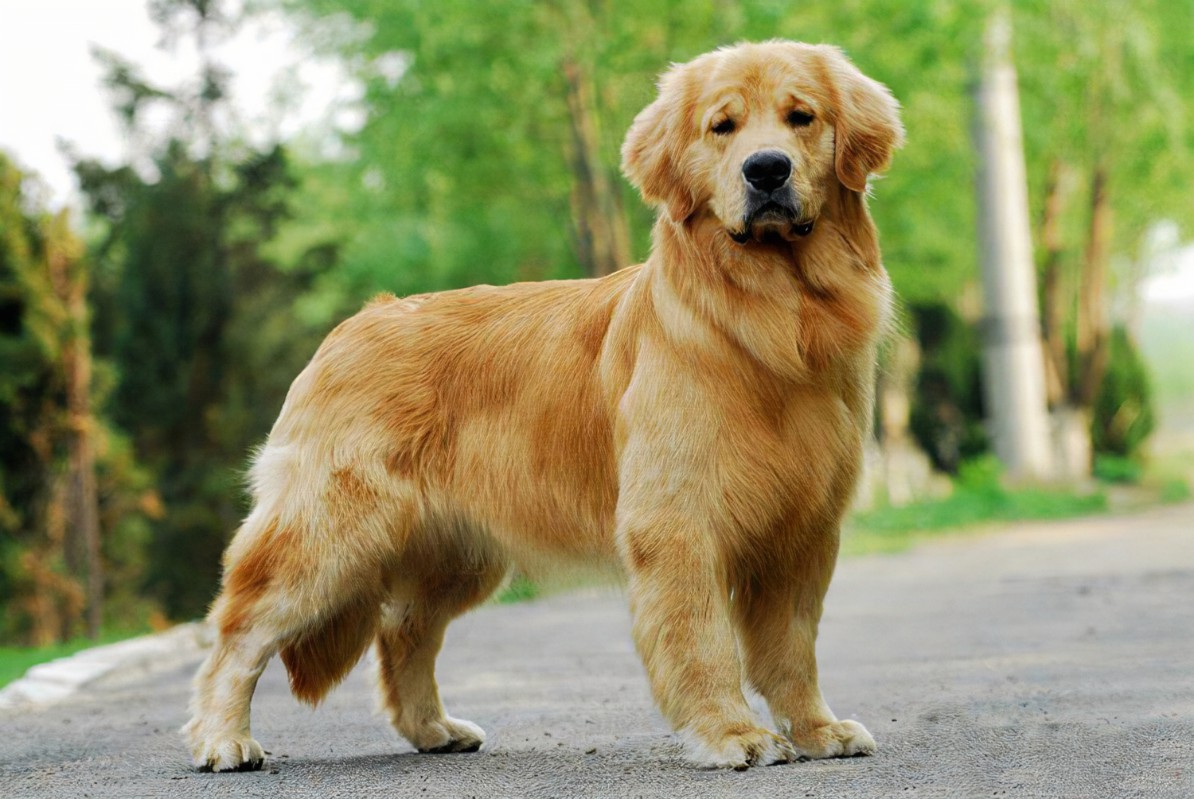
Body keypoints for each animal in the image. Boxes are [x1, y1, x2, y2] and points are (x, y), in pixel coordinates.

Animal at [181, 40, 897, 769]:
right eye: (722, 127)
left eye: (801, 117)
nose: (767, 168)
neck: (771, 321)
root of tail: (356, 322)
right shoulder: (678, 521)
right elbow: (703, 640)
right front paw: (733, 733)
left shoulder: (805, 529)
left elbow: (792, 648)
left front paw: (816, 729)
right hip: (329, 535)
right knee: (239, 632)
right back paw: (223, 738)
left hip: (454, 557)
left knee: (403, 633)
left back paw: (434, 728)